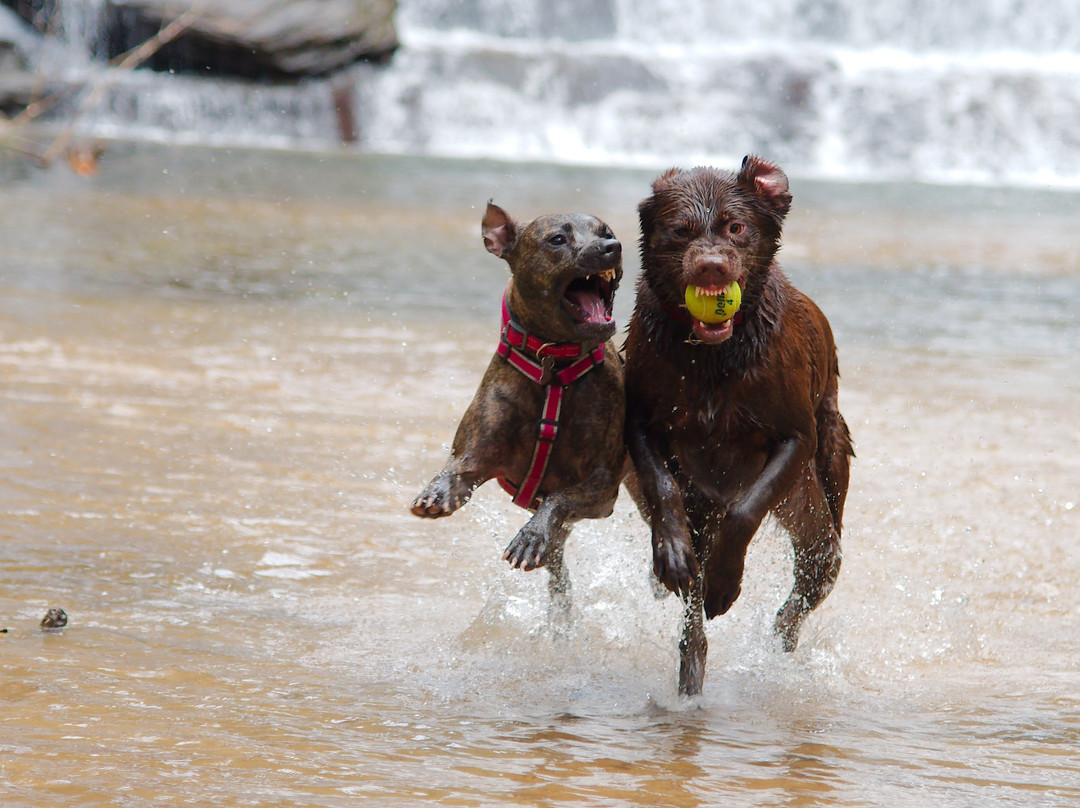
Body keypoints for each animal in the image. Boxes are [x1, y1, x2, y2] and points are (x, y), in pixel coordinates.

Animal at [410, 203, 626, 617]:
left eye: (606, 232)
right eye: (557, 239)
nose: (612, 247)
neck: (553, 366)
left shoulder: (603, 486)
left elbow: (559, 499)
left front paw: (530, 537)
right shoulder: (480, 451)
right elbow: (457, 468)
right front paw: (438, 491)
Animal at [626, 157, 851, 695]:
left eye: (736, 227)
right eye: (680, 230)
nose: (712, 266)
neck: (713, 357)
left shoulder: (796, 438)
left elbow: (747, 508)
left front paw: (726, 582)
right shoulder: (640, 422)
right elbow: (663, 486)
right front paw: (672, 554)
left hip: (821, 494)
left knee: (815, 577)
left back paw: (779, 642)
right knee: (693, 625)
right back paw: (690, 669)